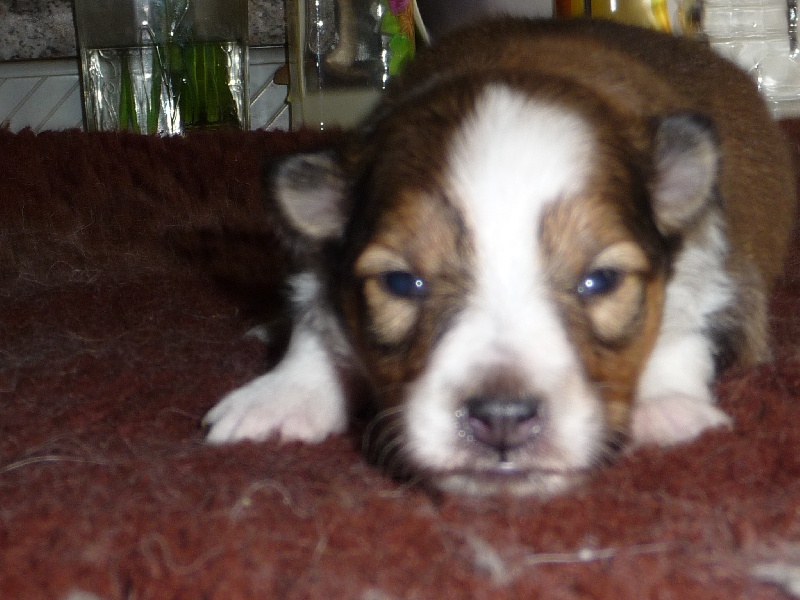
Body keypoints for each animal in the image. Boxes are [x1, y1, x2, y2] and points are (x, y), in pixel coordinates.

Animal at [205, 18, 792, 496]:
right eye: (401, 283)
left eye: (601, 280)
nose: (503, 418)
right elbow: (315, 316)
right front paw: (281, 398)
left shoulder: (718, 259)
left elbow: (686, 323)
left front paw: (669, 406)